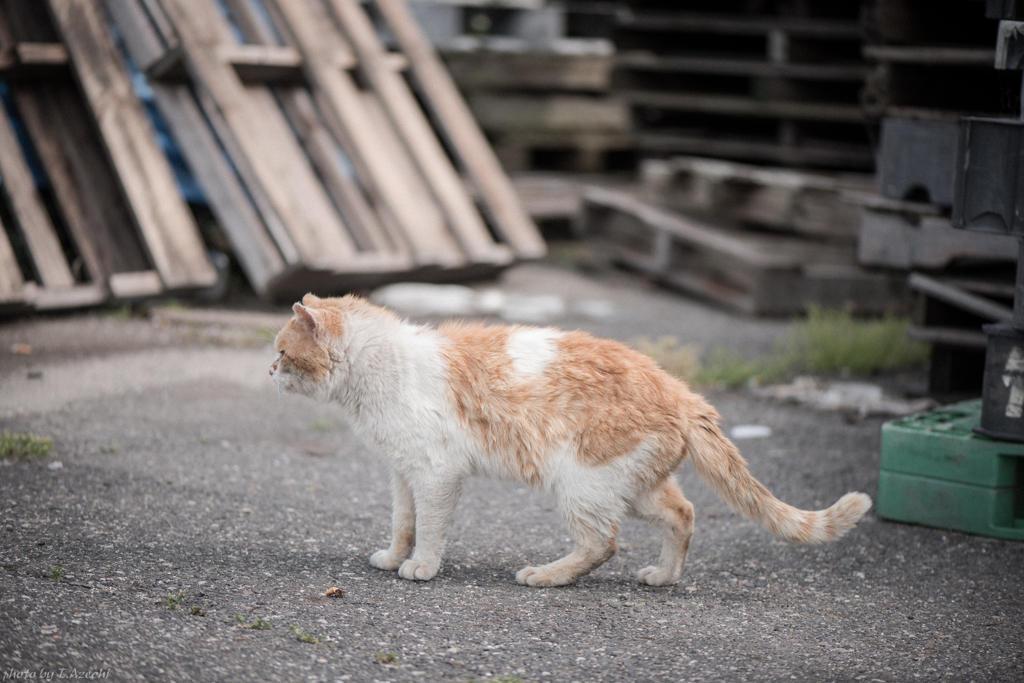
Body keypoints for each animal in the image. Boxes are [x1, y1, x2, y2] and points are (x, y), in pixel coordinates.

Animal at [272, 294, 872, 589]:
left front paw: (421, 567)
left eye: (281, 352)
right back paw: (664, 577)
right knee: (683, 514)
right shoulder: (403, 473)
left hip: (580, 482)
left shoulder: (438, 474)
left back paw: (545, 577)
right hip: (631, 488)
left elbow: (432, 529)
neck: (382, 371)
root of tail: (681, 391)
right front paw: (395, 556)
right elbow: (403, 523)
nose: (267, 370)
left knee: (601, 544)